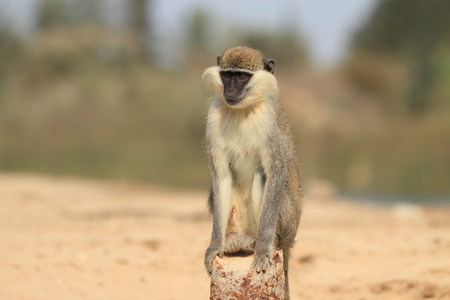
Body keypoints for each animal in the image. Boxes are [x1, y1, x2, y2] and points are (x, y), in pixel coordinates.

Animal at [203, 45, 302, 298]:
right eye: (227, 75)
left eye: (241, 76)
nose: (229, 90)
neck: (243, 109)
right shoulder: (213, 117)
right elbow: (220, 177)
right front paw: (215, 246)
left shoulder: (270, 123)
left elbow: (275, 173)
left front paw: (263, 248)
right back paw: (235, 241)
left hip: (286, 223)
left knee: (262, 175)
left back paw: (257, 242)